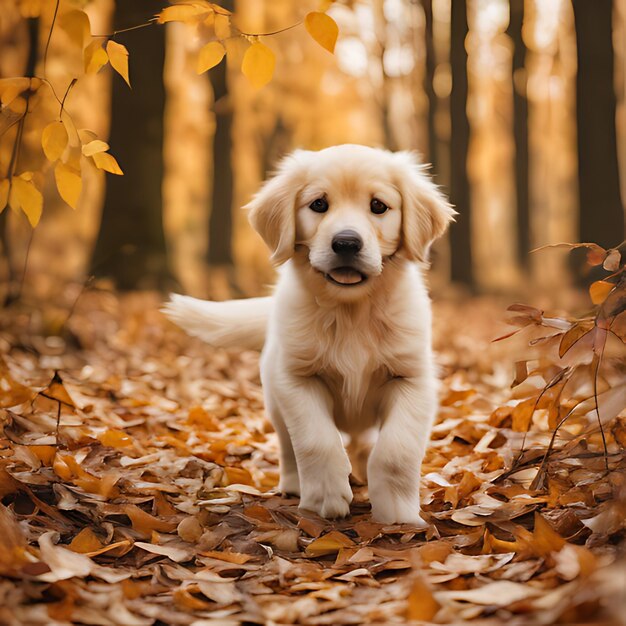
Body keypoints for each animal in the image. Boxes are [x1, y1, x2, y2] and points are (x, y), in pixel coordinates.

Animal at [162, 144, 454, 524]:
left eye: (378, 206)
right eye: (318, 204)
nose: (346, 243)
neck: (350, 311)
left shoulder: (412, 379)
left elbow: (396, 449)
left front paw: (396, 511)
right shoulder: (297, 379)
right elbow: (317, 440)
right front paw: (326, 496)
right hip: (274, 399)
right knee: (289, 448)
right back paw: (295, 485)